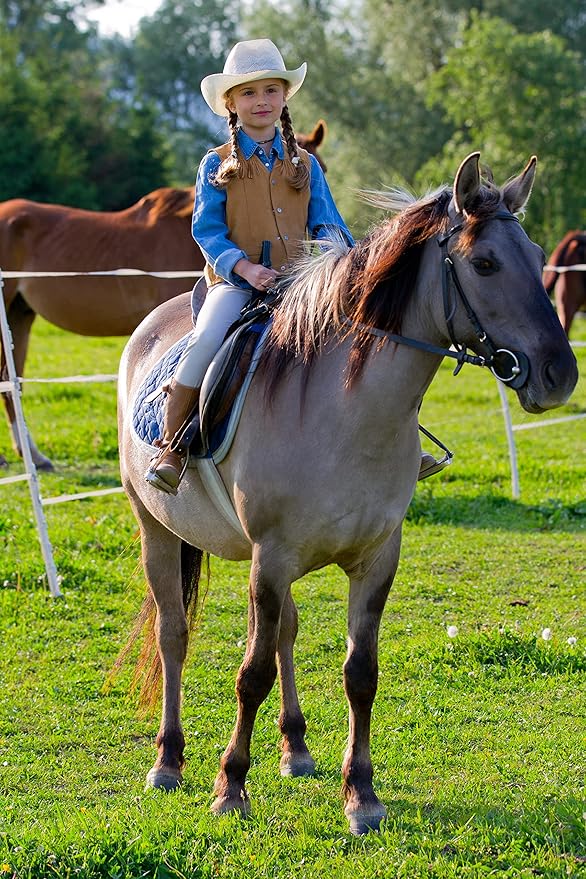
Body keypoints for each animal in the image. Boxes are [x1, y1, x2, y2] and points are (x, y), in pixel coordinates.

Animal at [117, 152, 577, 835]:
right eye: (485, 263)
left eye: (540, 253)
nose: (559, 375)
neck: (345, 411)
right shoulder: (271, 558)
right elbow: (250, 673)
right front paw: (231, 786)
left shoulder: (374, 559)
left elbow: (360, 673)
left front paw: (360, 794)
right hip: (160, 533)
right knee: (175, 634)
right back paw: (169, 760)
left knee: (284, 632)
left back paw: (296, 748)